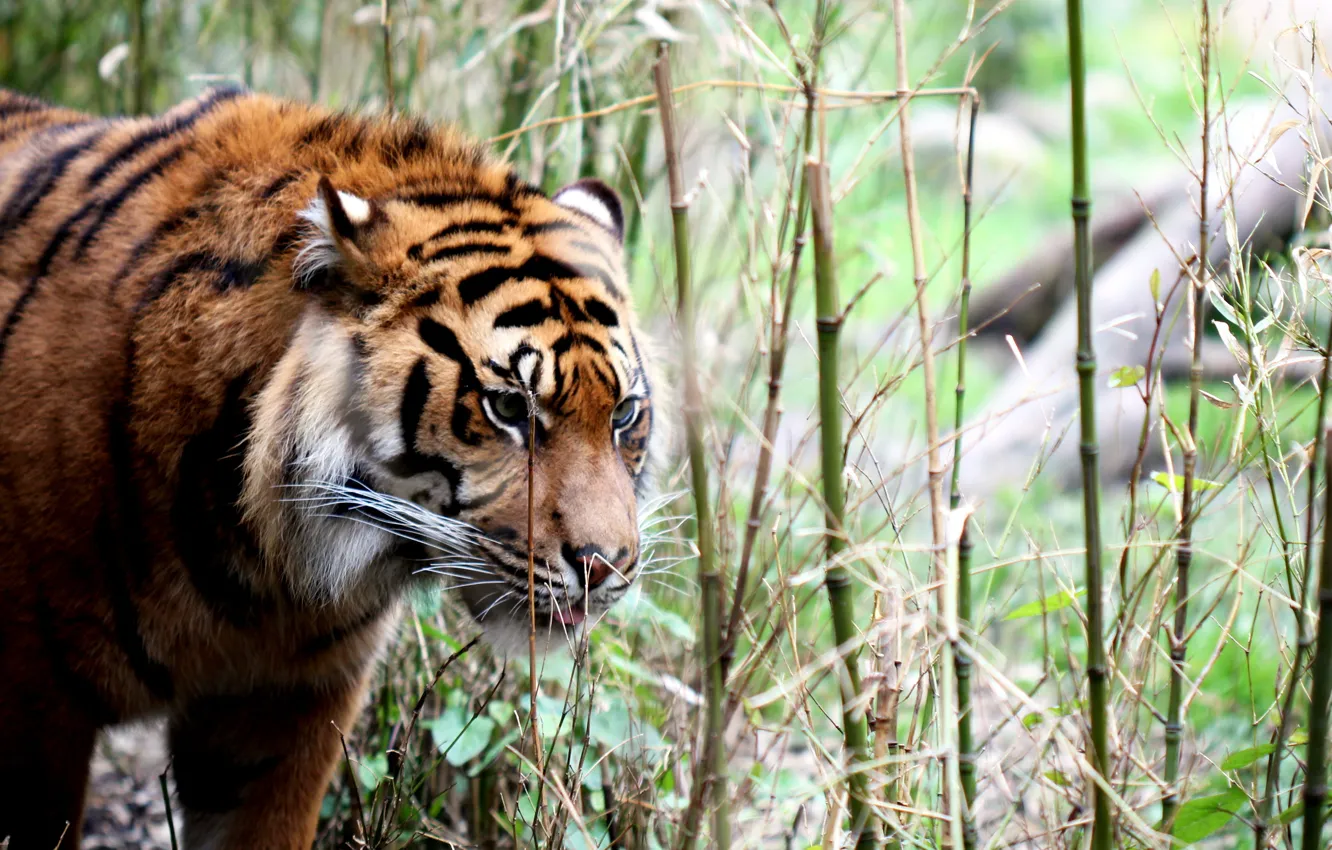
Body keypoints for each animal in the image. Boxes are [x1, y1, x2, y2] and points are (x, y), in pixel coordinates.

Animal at [0, 85, 659, 849]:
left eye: (624, 415)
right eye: (507, 408)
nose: (606, 567)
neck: (258, 565)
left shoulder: (287, 706)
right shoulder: (33, 702)